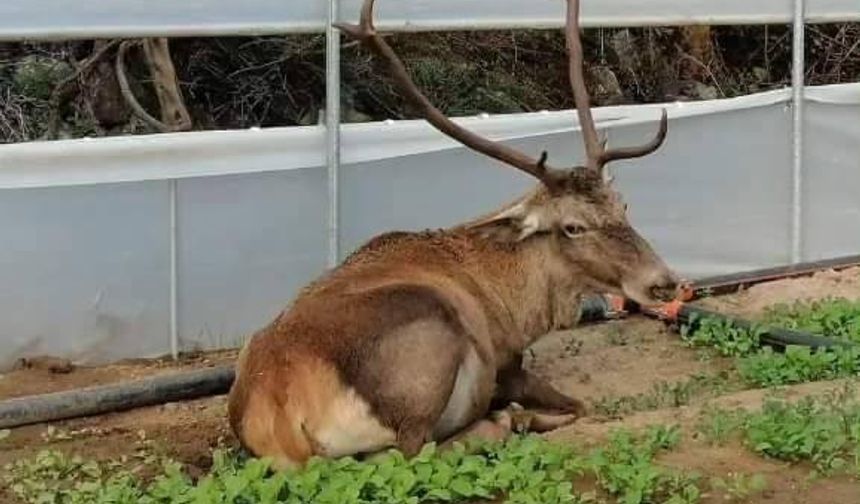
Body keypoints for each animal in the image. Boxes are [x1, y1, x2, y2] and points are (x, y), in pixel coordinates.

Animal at [225, 0, 680, 470]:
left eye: (622, 205)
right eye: (572, 226)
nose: (662, 282)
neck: (516, 306)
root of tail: (279, 413)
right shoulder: (505, 362)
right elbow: (578, 404)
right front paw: (522, 414)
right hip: (427, 347)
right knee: (411, 453)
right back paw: (504, 421)